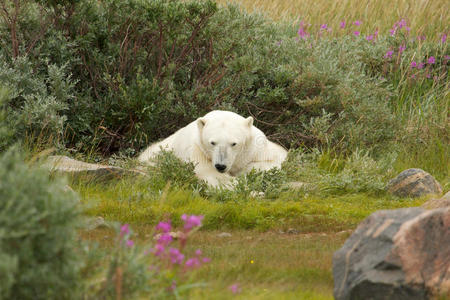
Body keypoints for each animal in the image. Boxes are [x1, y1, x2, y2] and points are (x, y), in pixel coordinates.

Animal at [139, 111, 288, 186]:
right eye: (212, 142)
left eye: (234, 143)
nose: (220, 166)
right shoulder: (197, 149)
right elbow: (208, 173)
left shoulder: (255, 146)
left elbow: (273, 159)